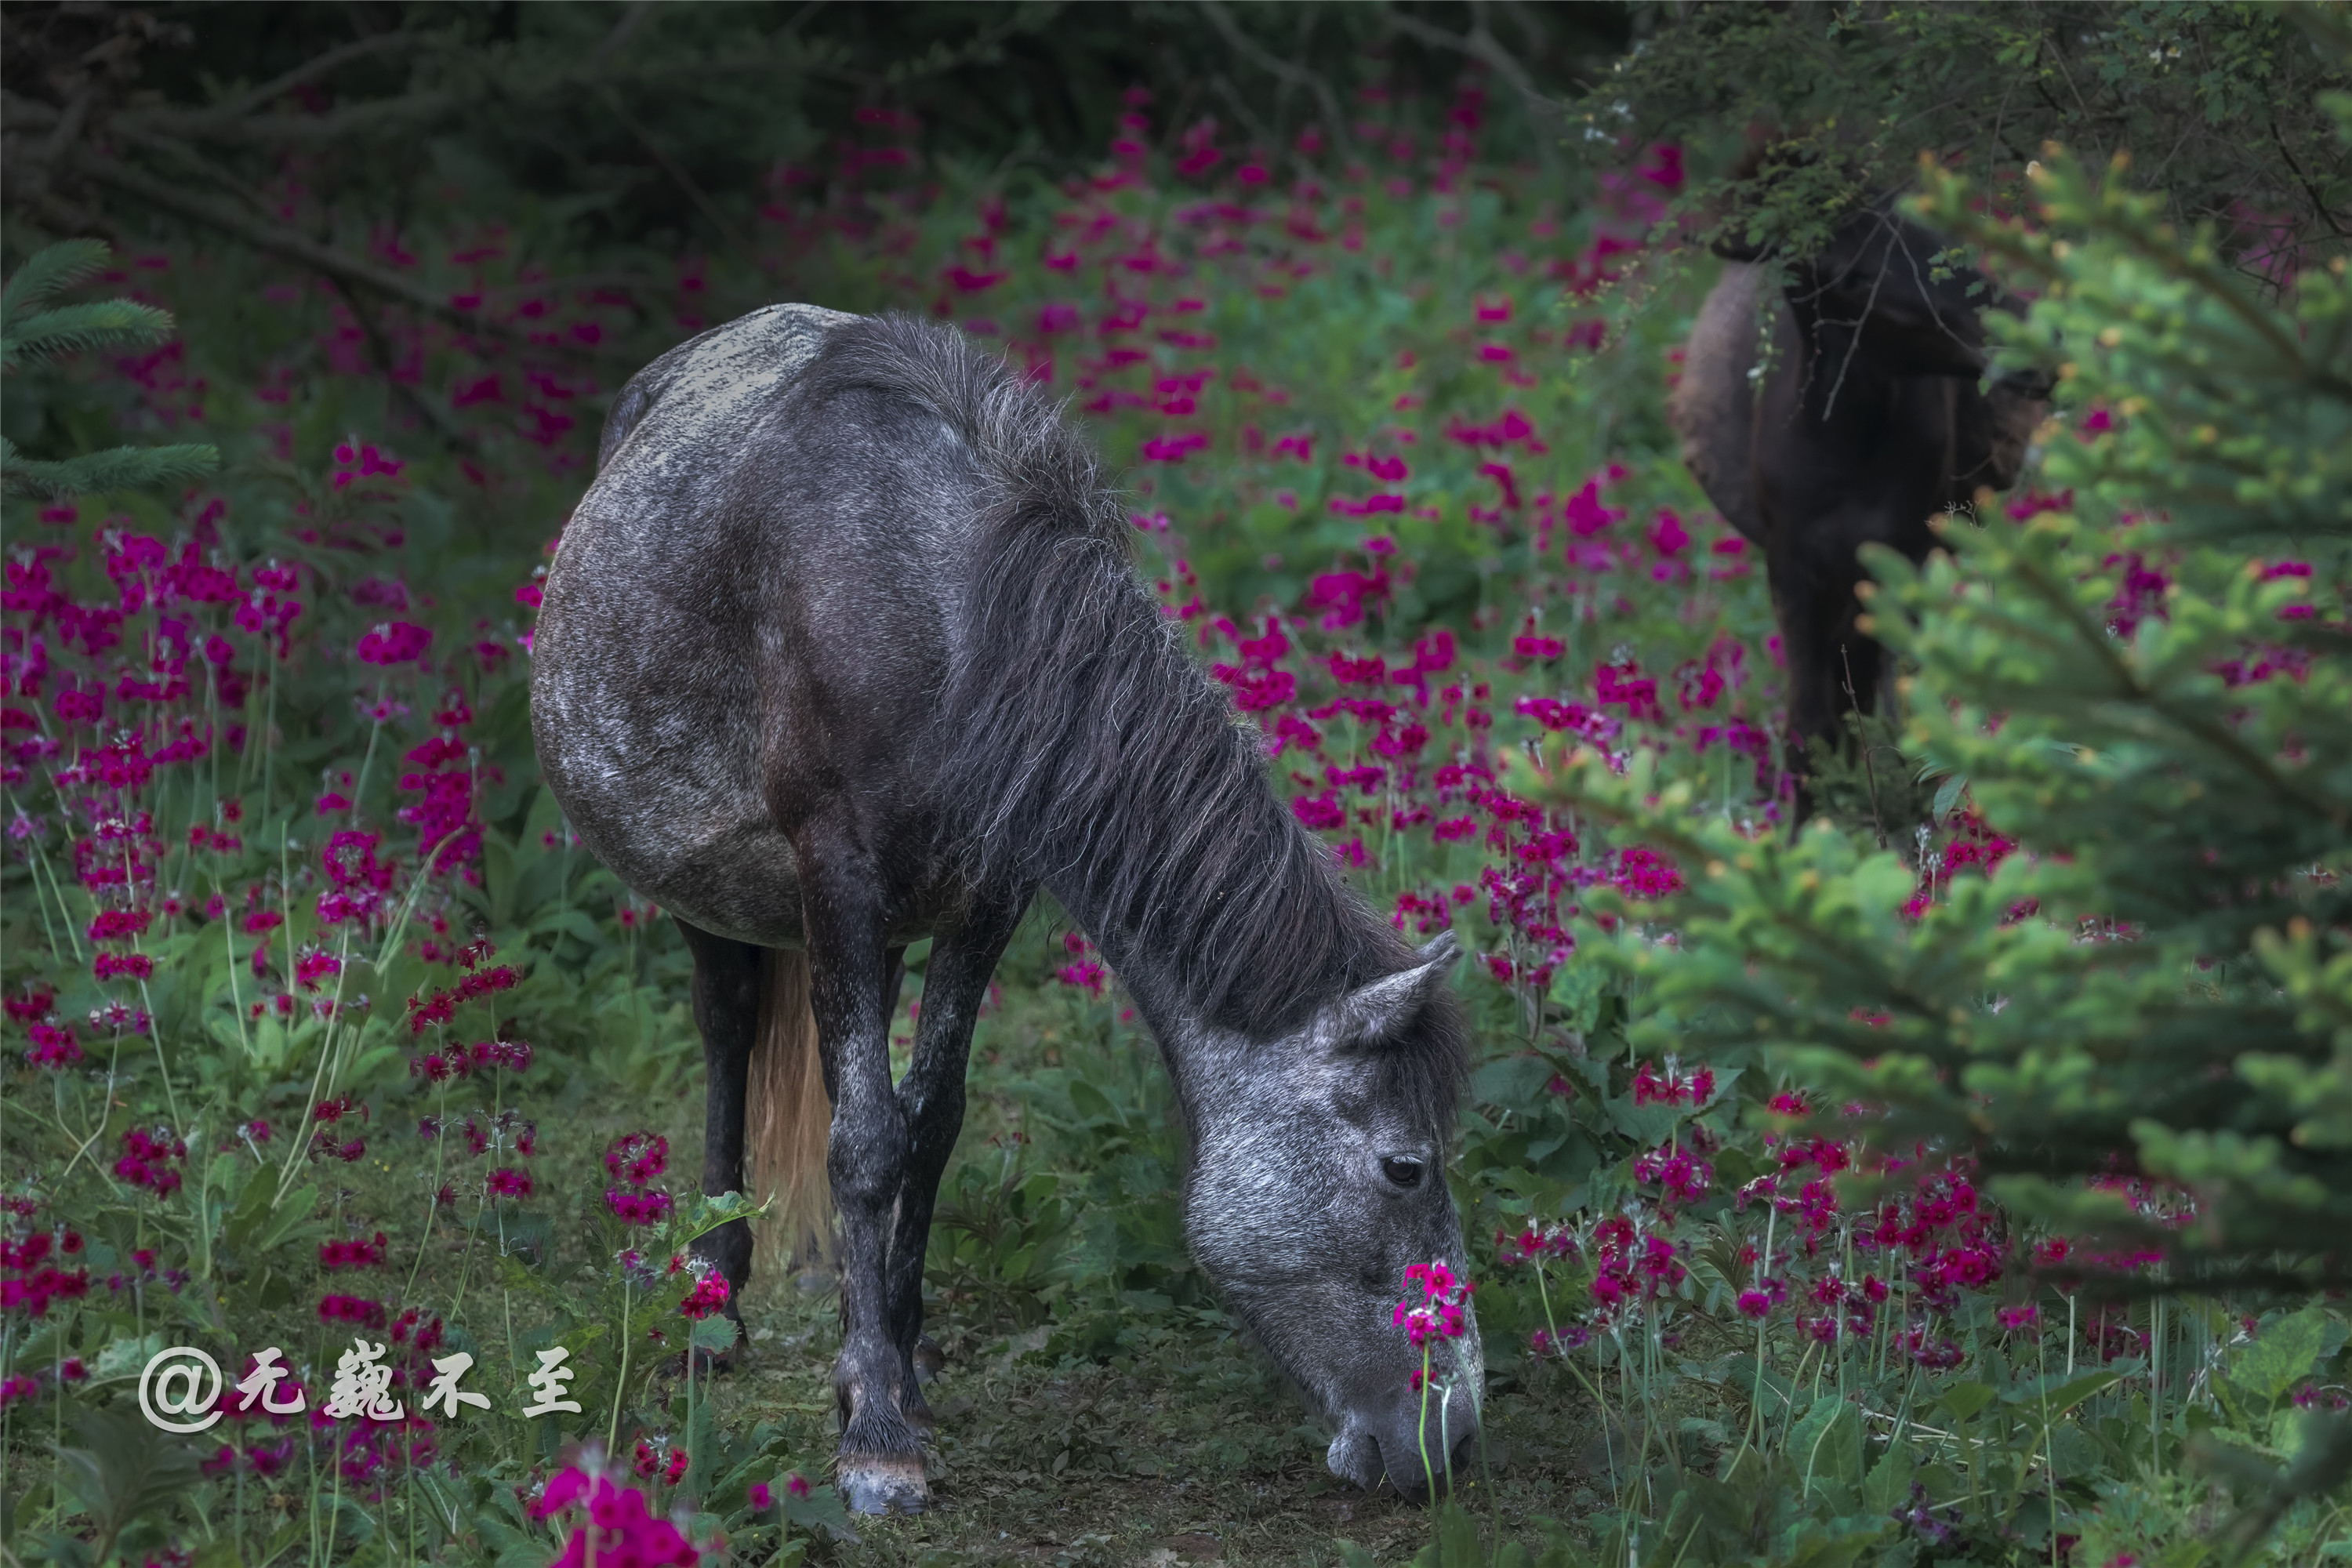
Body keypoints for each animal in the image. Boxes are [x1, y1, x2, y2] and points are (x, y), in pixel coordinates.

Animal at [539, 303, 1486, 1504]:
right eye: (1405, 1166)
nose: (1453, 1435)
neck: (946, 615)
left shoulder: (989, 895)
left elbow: (929, 1123)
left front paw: (893, 1370)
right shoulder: (836, 870)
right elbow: (865, 1142)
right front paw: (876, 1438)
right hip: (707, 895)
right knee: (728, 1031)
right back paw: (717, 1300)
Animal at [1665, 199, 2051, 799]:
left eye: (1930, 235)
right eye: (1852, 276)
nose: (2031, 337)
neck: (1844, 451)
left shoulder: (1900, 553)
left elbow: (1870, 715)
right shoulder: (1791, 564)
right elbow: (1808, 731)